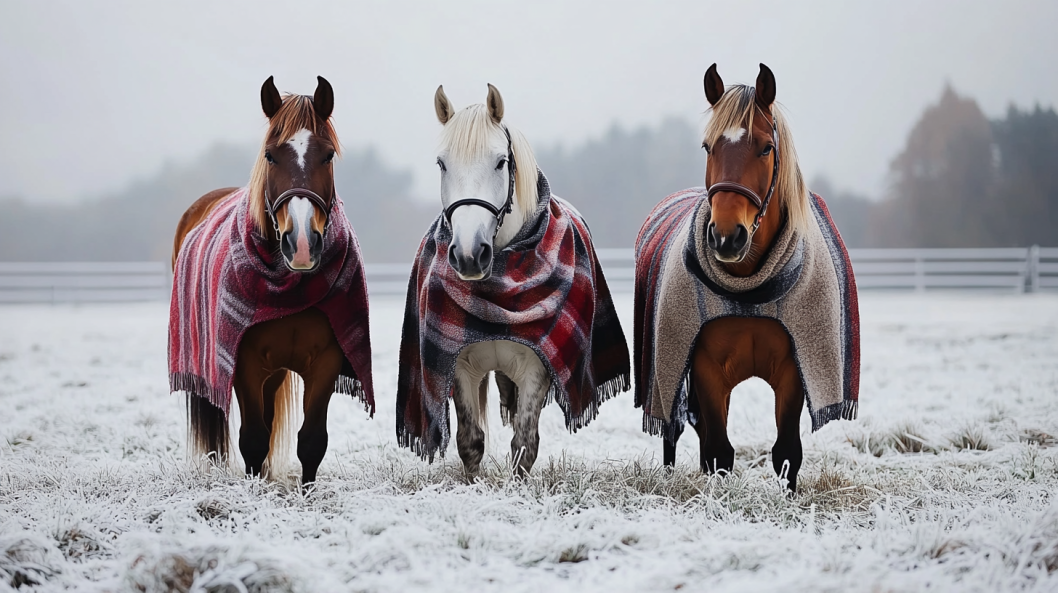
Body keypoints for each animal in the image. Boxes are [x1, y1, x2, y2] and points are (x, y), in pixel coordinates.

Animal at [171, 75, 349, 482]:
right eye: (270, 155)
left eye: (328, 155)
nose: (302, 244)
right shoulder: (244, 364)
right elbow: (252, 438)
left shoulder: (325, 363)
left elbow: (312, 441)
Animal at [435, 83, 554, 474]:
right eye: (441, 164)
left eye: (501, 161)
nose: (469, 254)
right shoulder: (461, 366)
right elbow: (470, 442)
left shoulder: (535, 368)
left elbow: (524, 445)